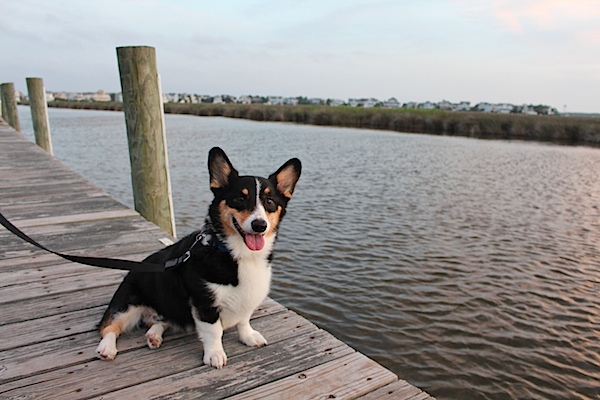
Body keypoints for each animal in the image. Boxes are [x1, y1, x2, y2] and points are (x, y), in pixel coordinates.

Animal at [96, 146, 302, 368]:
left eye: (270, 201)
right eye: (240, 198)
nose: (259, 225)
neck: (235, 253)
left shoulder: (246, 299)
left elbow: (244, 320)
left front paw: (248, 336)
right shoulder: (205, 304)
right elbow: (214, 331)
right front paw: (215, 354)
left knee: (161, 321)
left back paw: (154, 335)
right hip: (126, 305)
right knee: (108, 327)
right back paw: (107, 348)